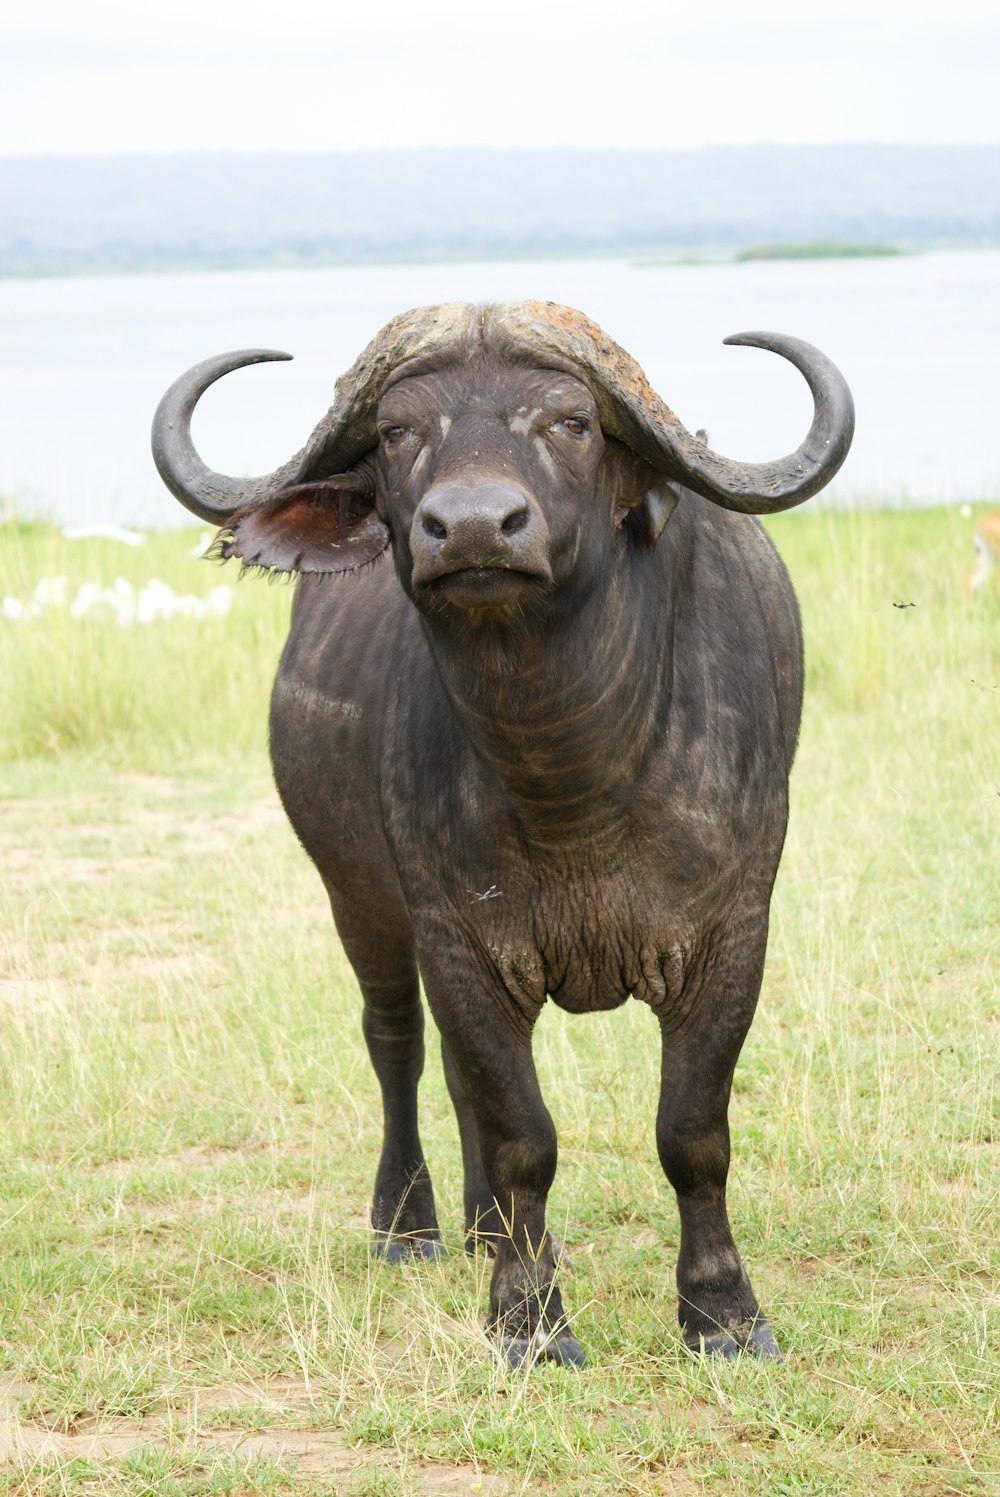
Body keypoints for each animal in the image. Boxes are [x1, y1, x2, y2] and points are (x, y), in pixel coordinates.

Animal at [152, 303, 856, 1371]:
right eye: (399, 431)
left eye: (570, 420)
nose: (476, 526)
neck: (572, 779)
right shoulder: (459, 940)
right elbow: (525, 1132)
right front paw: (529, 1318)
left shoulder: (733, 934)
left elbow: (693, 1130)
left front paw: (723, 1313)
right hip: (357, 899)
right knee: (399, 1046)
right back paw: (415, 1225)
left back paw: (487, 1229)